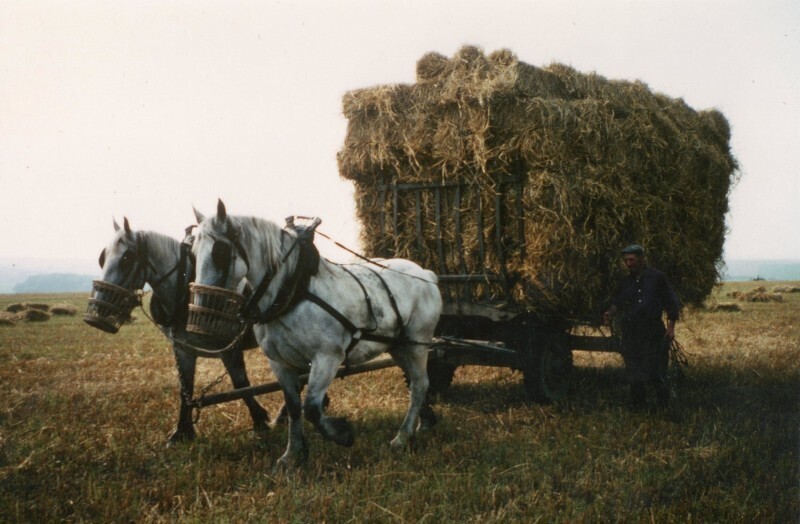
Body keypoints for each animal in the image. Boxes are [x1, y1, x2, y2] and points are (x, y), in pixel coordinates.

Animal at [86, 217, 270, 446]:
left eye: (127, 258)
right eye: (103, 257)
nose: (97, 312)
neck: (185, 291)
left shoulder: (230, 349)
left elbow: (241, 384)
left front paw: (260, 420)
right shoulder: (183, 349)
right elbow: (186, 389)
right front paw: (182, 432)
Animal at [192, 202, 444, 470]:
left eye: (219, 251)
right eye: (193, 251)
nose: (202, 304)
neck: (293, 291)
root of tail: (426, 274)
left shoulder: (327, 358)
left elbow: (311, 407)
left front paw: (342, 434)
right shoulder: (280, 363)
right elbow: (294, 408)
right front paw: (292, 454)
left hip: (418, 344)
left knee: (420, 385)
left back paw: (402, 436)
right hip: (399, 347)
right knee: (416, 383)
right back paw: (423, 423)